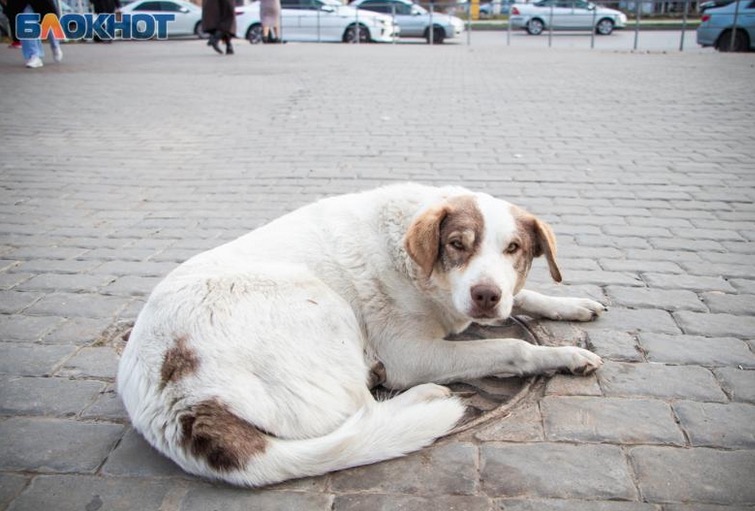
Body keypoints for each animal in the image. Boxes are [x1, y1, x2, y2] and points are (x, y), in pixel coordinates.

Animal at [116, 183, 604, 488]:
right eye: (457, 245)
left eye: (513, 249)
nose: (486, 295)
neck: (417, 267)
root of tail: (176, 403)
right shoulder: (411, 353)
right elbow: (511, 346)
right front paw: (562, 355)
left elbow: (525, 297)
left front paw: (571, 304)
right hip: (321, 303)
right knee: (365, 409)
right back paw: (425, 398)